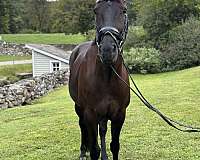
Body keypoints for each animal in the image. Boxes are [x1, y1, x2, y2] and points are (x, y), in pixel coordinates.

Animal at [69, 0, 129, 159]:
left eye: (124, 11)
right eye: (96, 11)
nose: (107, 50)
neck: (107, 78)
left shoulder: (119, 114)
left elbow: (115, 146)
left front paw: (106, 153)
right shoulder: (90, 114)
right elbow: (94, 149)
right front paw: (92, 151)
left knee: (102, 129)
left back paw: (104, 155)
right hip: (79, 107)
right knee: (82, 125)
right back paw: (83, 151)